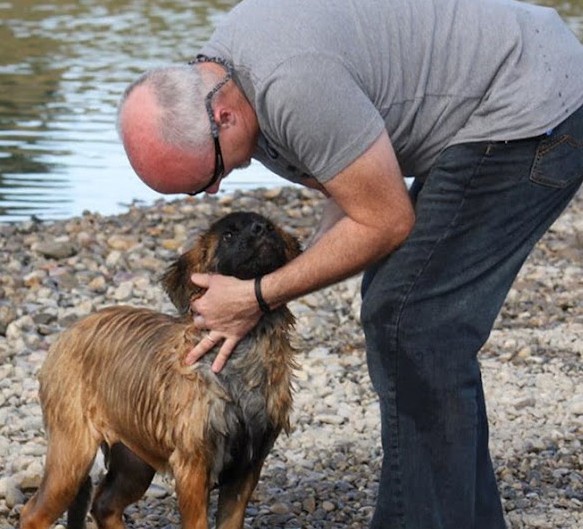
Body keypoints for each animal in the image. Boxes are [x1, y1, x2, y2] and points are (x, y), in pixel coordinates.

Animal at [19, 210, 302, 528]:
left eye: (271, 226)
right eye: (229, 235)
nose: (261, 228)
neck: (240, 358)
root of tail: (66, 333)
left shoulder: (247, 467)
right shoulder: (193, 464)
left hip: (134, 461)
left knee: (104, 504)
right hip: (72, 453)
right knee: (33, 513)